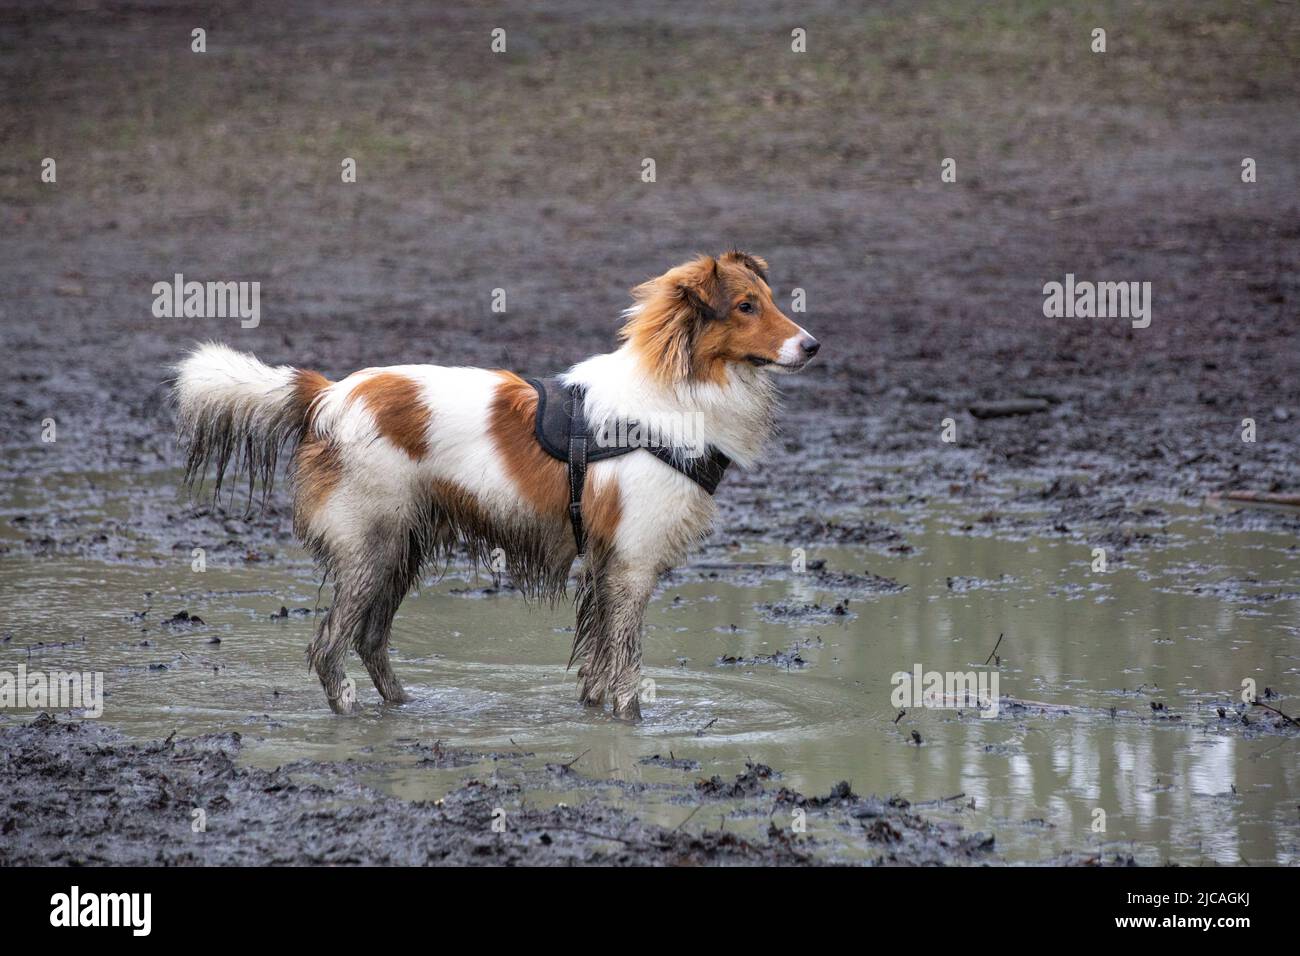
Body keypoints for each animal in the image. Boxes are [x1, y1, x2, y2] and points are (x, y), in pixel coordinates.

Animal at [174, 252, 821, 717]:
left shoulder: (606, 565)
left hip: (402, 549)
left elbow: (597, 667)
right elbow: (626, 670)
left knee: (371, 640)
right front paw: (631, 727)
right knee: (330, 645)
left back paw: (406, 708)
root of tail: (329, 394)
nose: (813, 344)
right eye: (745, 306)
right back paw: (352, 715)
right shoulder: (632, 564)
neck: (675, 392)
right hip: (370, 547)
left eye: (769, 301)